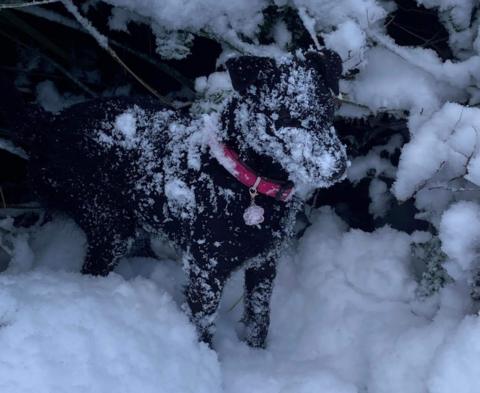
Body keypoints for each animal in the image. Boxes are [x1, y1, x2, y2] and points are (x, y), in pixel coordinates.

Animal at [0, 49, 344, 346]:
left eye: (328, 110)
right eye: (284, 118)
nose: (338, 166)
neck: (245, 183)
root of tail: (49, 124)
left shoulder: (265, 263)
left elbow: (259, 318)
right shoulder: (205, 270)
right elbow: (204, 327)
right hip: (107, 223)